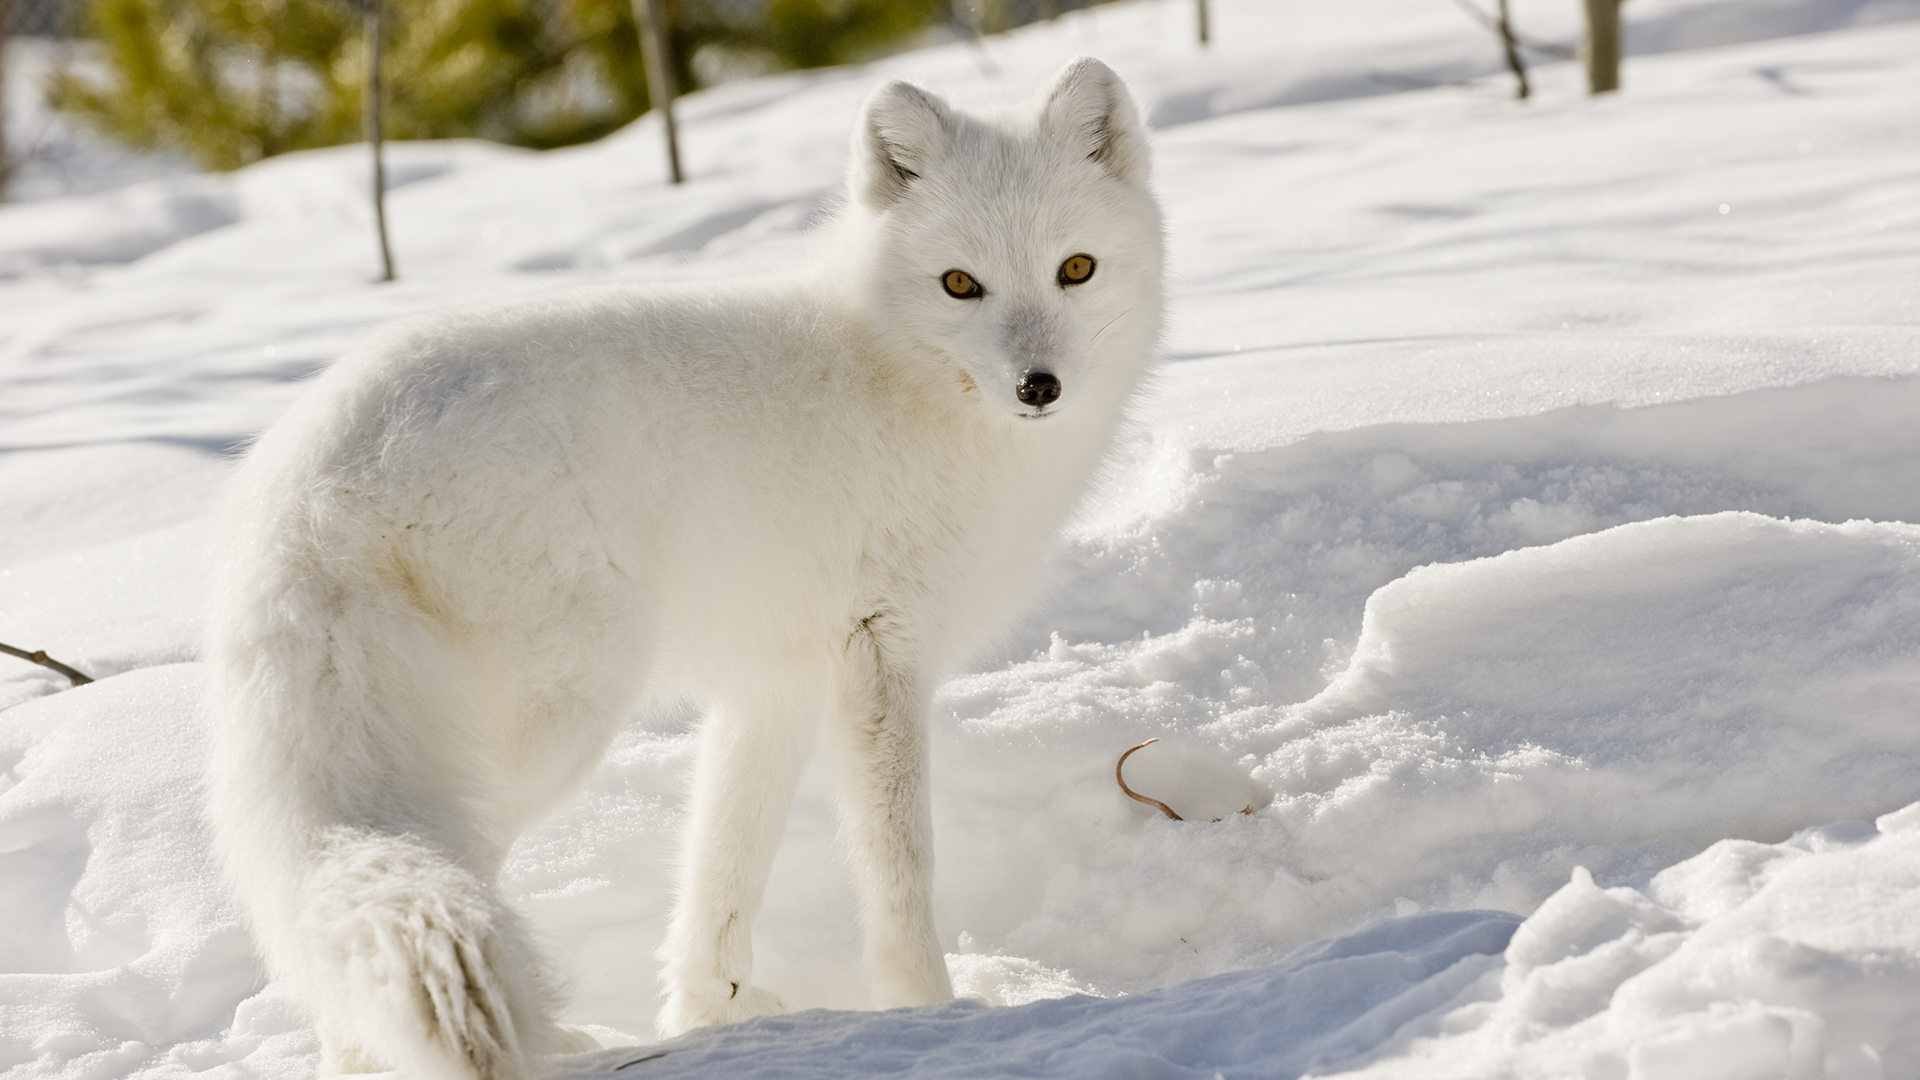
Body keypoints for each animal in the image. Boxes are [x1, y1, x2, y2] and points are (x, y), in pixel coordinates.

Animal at [204, 58, 1159, 1076]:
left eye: (1075, 268)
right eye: (960, 284)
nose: (1037, 388)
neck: (899, 377)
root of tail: (309, 481)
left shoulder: (778, 681)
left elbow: (724, 861)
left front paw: (709, 1011)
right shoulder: (882, 655)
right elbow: (900, 864)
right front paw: (932, 1009)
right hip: (556, 716)